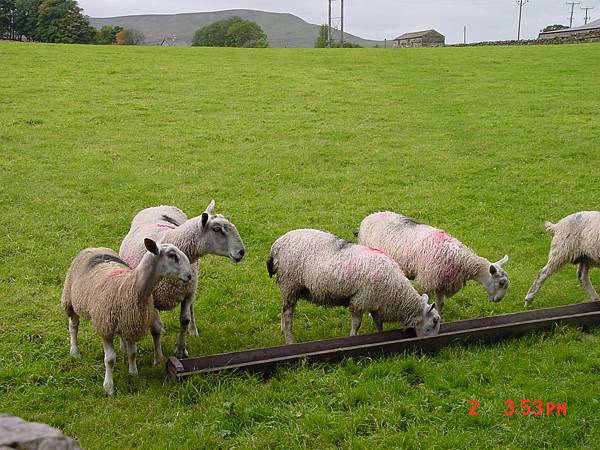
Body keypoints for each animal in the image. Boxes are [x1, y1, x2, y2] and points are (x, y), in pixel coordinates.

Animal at [61, 237, 192, 396]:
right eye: (172, 255)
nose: (190, 275)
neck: (131, 287)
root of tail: (93, 248)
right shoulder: (105, 328)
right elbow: (110, 359)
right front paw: (109, 387)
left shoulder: (132, 325)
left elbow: (133, 353)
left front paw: (133, 373)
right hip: (69, 299)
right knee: (73, 326)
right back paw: (74, 351)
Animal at [118, 200, 245, 358]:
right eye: (217, 229)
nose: (241, 252)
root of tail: (159, 206)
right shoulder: (151, 296)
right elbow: (155, 328)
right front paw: (159, 356)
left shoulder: (188, 292)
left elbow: (184, 320)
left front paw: (181, 350)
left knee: (191, 309)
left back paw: (193, 330)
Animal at [264, 229, 438, 344]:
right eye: (435, 322)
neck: (396, 292)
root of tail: (276, 246)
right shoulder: (360, 300)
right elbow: (357, 324)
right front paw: (352, 338)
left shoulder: (375, 301)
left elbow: (378, 323)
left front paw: (380, 335)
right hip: (290, 284)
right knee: (288, 314)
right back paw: (289, 340)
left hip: (289, 287)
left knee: (284, 311)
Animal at [358, 212, 508, 320]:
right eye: (501, 282)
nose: (499, 300)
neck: (462, 261)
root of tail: (370, 216)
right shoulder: (428, 280)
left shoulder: (442, 282)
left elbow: (440, 304)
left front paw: (442, 319)